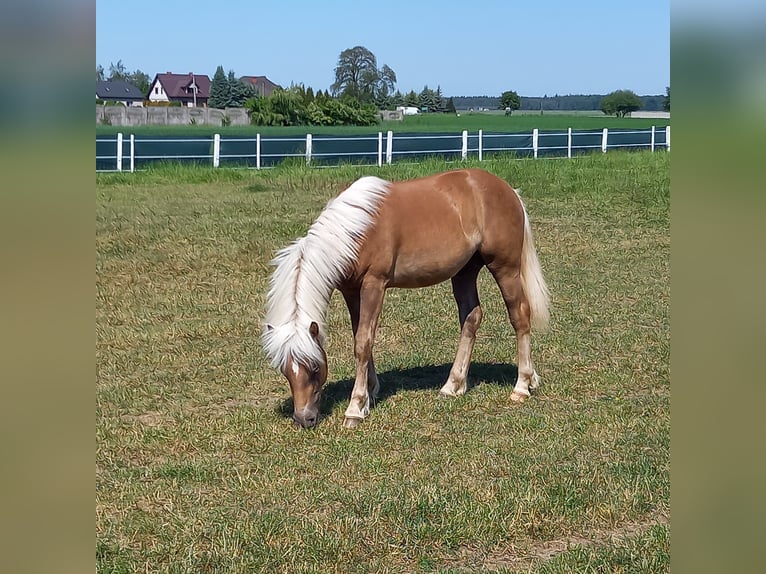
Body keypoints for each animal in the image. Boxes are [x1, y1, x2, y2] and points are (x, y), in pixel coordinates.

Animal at [263, 168, 550, 429]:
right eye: (285, 370)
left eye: (314, 368)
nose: (304, 419)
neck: (355, 230)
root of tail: (509, 190)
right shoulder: (351, 291)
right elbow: (361, 337)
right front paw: (370, 392)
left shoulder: (374, 284)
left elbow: (363, 342)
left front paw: (355, 408)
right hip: (465, 272)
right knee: (471, 318)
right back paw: (453, 385)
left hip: (505, 268)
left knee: (520, 316)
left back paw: (522, 385)